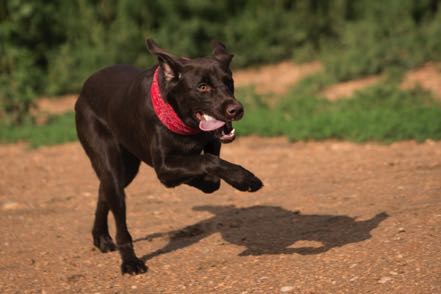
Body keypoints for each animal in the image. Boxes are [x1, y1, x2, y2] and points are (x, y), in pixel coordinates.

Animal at [74, 38, 262, 274]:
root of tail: (85, 86)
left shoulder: (212, 141)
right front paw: (245, 179)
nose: (236, 110)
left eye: (229, 82)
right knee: (116, 207)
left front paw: (207, 181)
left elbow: (211, 170)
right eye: (202, 87)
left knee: (103, 191)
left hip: (128, 167)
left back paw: (101, 237)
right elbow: (207, 161)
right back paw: (129, 261)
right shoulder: (163, 168)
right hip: (108, 159)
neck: (183, 122)